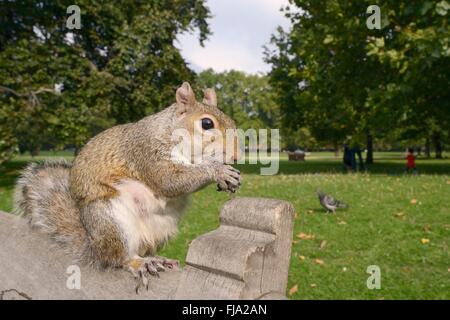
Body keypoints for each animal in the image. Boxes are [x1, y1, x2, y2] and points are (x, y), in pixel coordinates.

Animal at [12, 82, 241, 290]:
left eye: (232, 121)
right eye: (206, 123)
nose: (236, 156)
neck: (171, 132)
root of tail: (95, 247)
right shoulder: (146, 152)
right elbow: (168, 180)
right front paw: (218, 171)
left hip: (162, 227)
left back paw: (158, 258)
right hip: (112, 219)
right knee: (119, 258)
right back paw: (139, 263)